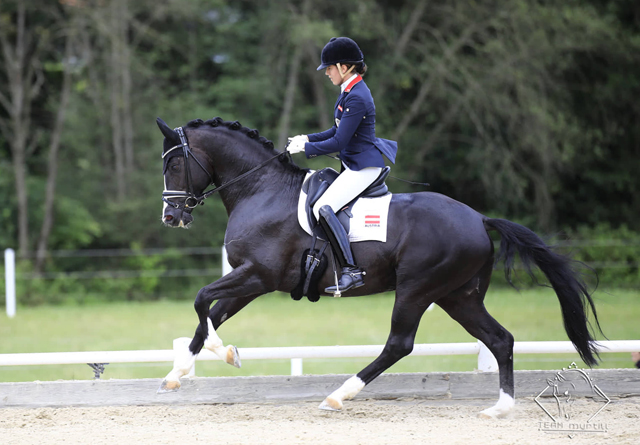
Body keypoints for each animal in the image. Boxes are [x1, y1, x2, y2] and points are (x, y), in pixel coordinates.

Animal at [155, 117, 600, 416]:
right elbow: (209, 317)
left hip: (417, 289)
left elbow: (202, 301)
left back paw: (338, 395)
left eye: (174, 165)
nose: (170, 217)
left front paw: (222, 353)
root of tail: (479, 218)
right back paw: (501, 408)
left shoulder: (257, 275)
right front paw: (182, 372)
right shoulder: (252, 280)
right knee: (500, 339)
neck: (260, 189)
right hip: (459, 295)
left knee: (399, 344)